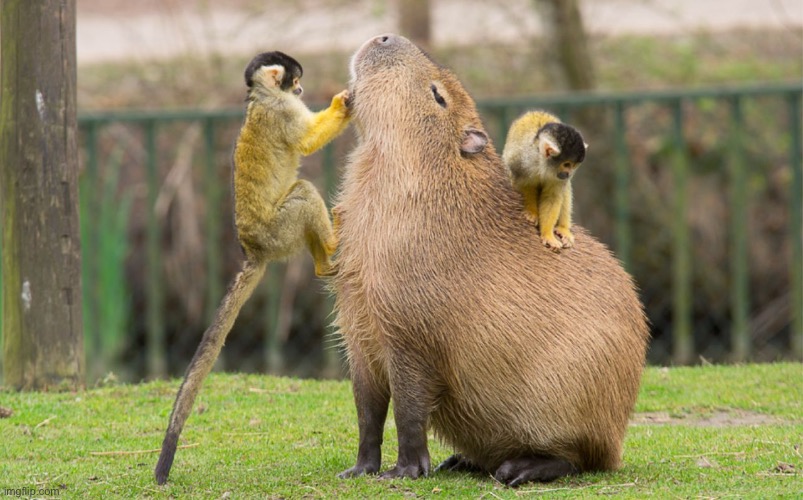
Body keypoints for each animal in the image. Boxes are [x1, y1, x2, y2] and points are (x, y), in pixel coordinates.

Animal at [154, 50, 348, 484]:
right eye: (296, 81)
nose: (302, 89)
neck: (261, 97)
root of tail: (254, 250)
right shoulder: (281, 111)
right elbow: (306, 141)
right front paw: (342, 103)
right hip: (279, 231)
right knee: (303, 194)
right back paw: (332, 246)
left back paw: (323, 265)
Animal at [506, 109, 588, 250]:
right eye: (566, 164)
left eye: (574, 166)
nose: (569, 173)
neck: (541, 163)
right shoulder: (521, 161)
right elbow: (523, 184)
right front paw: (531, 212)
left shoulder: (558, 175)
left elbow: (552, 197)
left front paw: (547, 234)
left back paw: (563, 228)